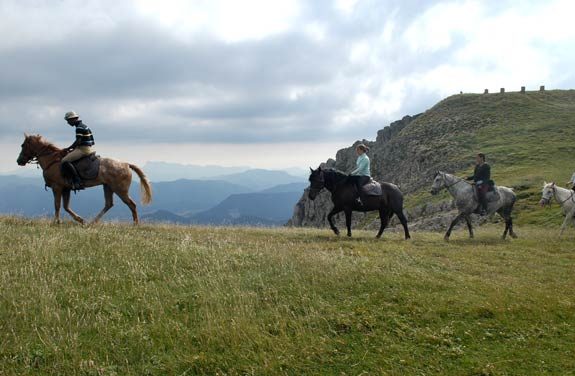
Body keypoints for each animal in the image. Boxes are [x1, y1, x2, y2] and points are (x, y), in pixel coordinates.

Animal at [17, 134, 153, 225]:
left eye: (23, 145)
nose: (19, 161)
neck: (51, 160)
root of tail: (126, 164)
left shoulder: (57, 187)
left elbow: (57, 205)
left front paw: (56, 222)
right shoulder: (66, 189)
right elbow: (66, 207)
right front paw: (81, 220)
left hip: (120, 189)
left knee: (131, 204)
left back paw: (135, 224)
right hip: (108, 187)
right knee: (109, 204)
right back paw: (92, 223)